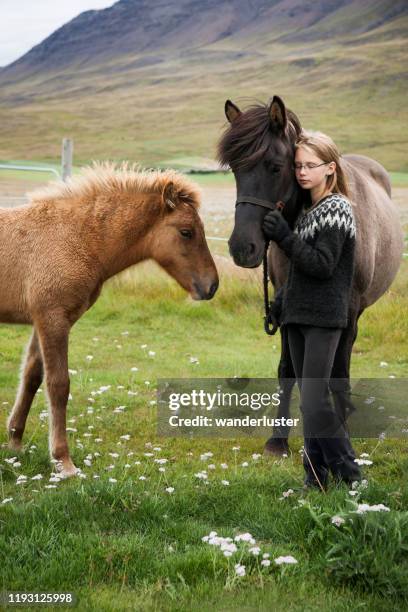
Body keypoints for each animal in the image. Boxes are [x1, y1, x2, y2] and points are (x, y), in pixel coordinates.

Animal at [218, 92, 404, 454]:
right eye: (235, 169)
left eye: (276, 167)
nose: (242, 247)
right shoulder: (285, 306)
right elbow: (289, 370)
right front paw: (278, 440)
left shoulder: (347, 310)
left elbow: (337, 375)